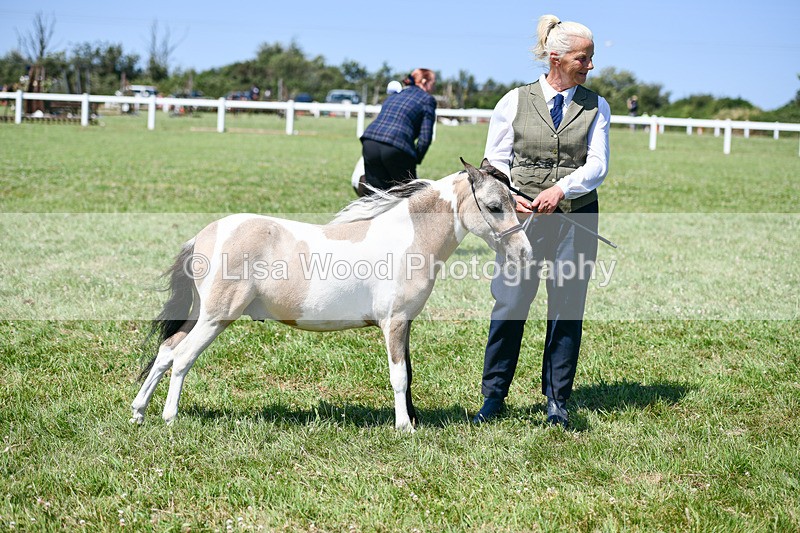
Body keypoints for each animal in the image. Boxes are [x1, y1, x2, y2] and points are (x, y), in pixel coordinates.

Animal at [131, 158, 533, 431]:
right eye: (494, 206)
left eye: (514, 203)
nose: (524, 252)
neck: (407, 240)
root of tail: (204, 236)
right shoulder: (394, 323)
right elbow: (399, 376)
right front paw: (404, 427)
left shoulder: (405, 324)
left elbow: (407, 372)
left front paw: (412, 419)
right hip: (216, 317)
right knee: (183, 357)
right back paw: (169, 417)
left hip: (200, 315)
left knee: (166, 351)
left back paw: (138, 412)